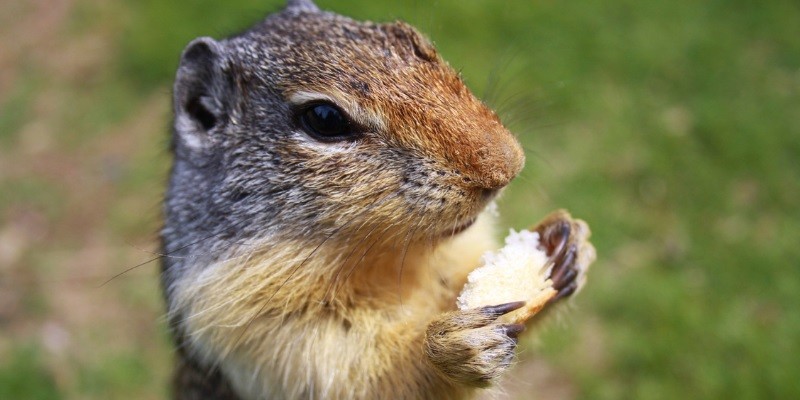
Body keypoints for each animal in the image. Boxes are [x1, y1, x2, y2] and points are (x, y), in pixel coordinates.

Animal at [159, 1, 592, 398]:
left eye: (419, 43)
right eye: (324, 118)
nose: (508, 166)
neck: (401, 261)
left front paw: (567, 241)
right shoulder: (258, 328)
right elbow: (378, 377)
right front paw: (456, 346)